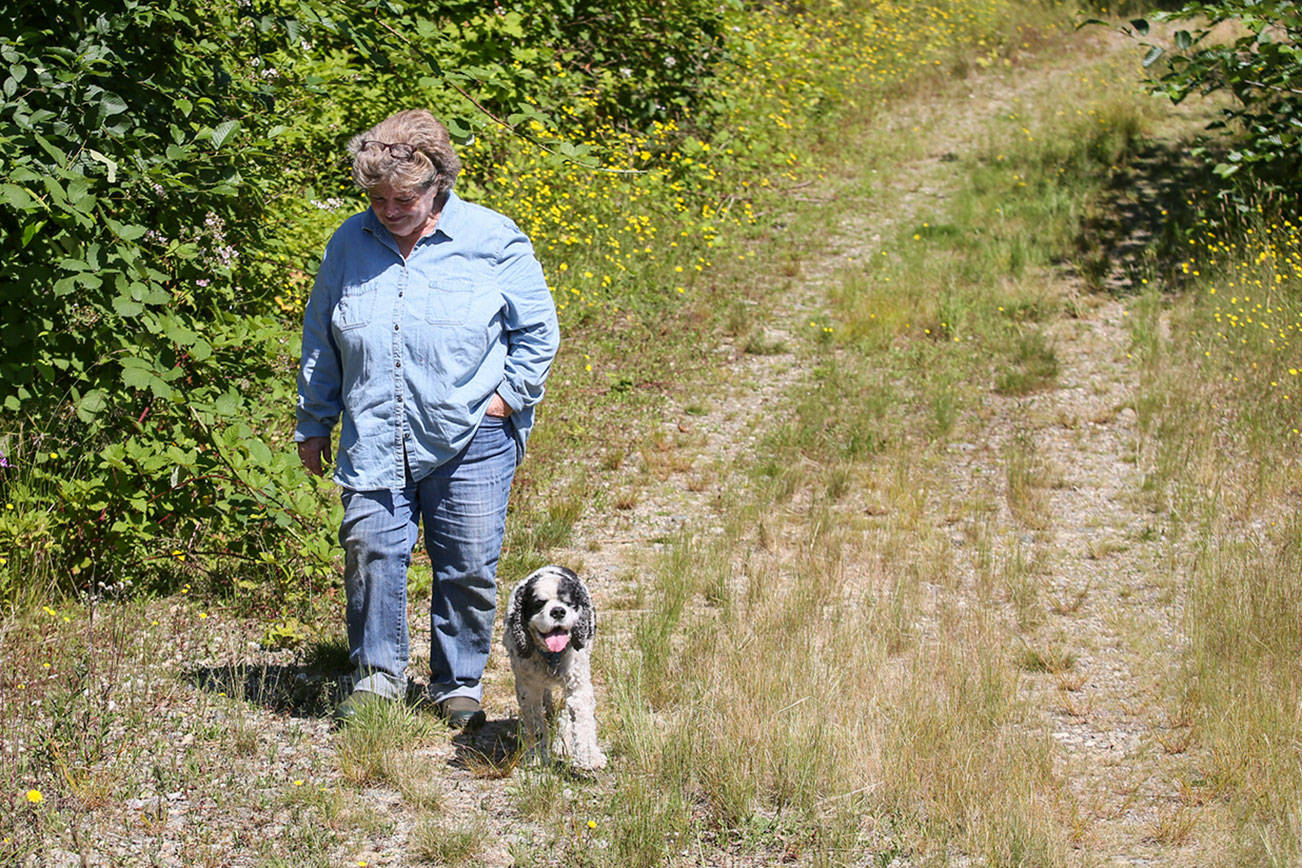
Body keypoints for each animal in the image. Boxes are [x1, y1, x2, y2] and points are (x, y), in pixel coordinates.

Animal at [499, 567, 606, 770]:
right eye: (538, 604)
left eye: (568, 603)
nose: (557, 611)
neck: (551, 656)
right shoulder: (528, 689)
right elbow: (535, 724)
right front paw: (536, 756)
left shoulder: (578, 683)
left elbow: (583, 721)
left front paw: (589, 757)